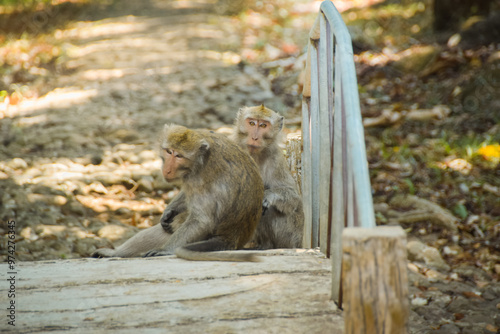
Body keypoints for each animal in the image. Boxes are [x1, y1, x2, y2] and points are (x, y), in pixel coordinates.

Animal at [94, 124, 266, 262]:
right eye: (169, 151)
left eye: (179, 156)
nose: (167, 169)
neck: (200, 160)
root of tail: (232, 238)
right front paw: (170, 210)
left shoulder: (200, 180)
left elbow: (202, 220)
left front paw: (164, 250)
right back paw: (114, 253)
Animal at [231, 105, 304, 249]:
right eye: (252, 123)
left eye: (263, 125)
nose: (254, 137)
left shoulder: (275, 159)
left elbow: (293, 198)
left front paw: (268, 196)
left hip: (292, 235)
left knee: (270, 209)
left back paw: (265, 245)